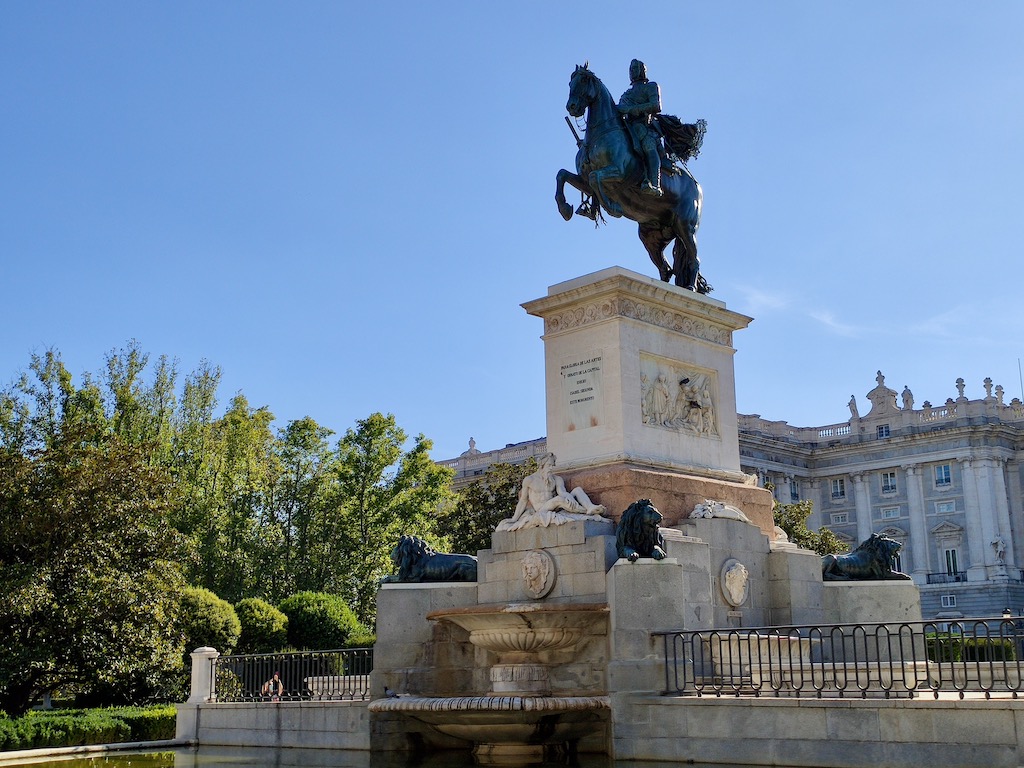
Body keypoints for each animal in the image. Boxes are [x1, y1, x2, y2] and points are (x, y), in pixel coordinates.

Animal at [557, 64, 708, 292]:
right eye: (570, 82)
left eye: (583, 80)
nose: (572, 106)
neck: (601, 133)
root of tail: (697, 187)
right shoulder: (582, 180)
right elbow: (563, 175)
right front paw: (566, 208)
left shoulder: (619, 173)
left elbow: (595, 177)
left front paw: (612, 207)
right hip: (651, 236)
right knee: (665, 269)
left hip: (686, 227)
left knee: (694, 259)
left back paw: (690, 287)